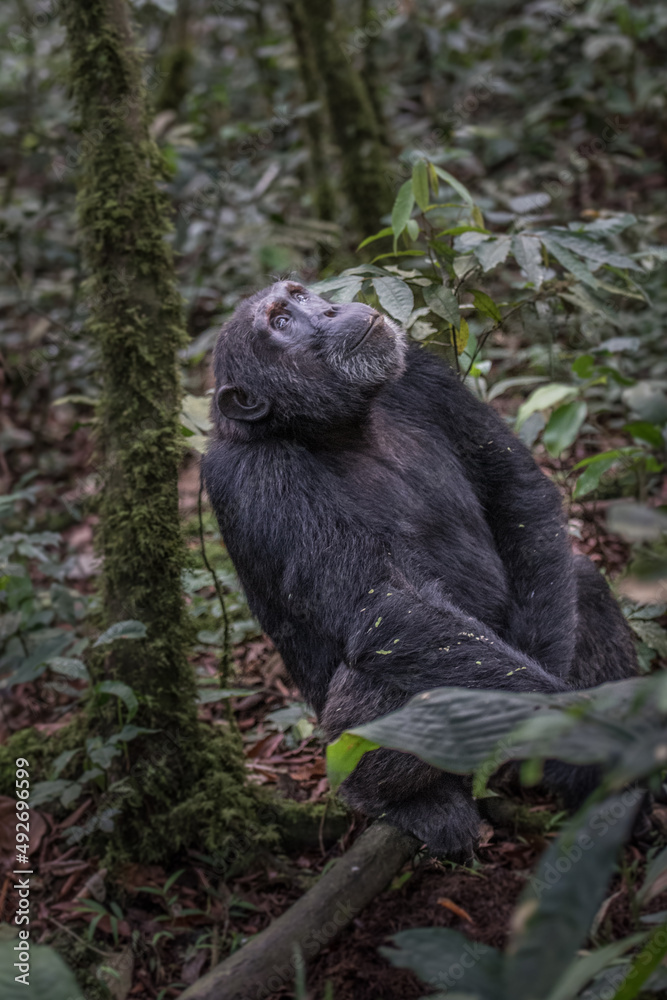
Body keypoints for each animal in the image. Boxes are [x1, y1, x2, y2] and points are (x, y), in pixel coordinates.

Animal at [202, 281, 637, 857]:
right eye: (280, 322)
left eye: (298, 296)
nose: (330, 308)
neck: (337, 427)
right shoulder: (255, 476)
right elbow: (385, 602)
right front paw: (583, 727)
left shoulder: (426, 375)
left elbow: (515, 487)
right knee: (385, 673)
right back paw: (410, 803)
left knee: (582, 582)